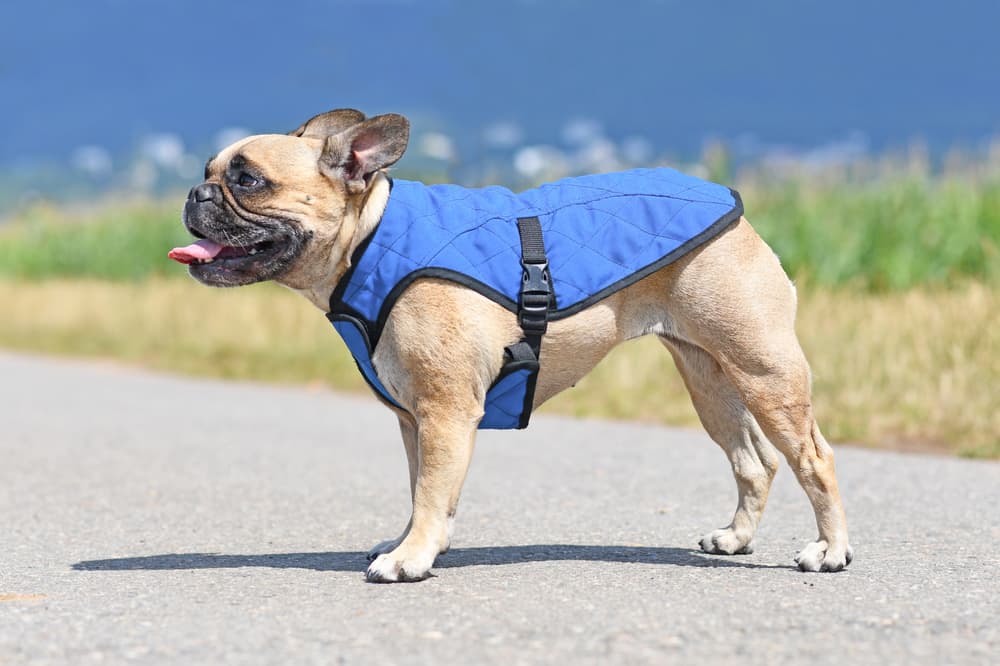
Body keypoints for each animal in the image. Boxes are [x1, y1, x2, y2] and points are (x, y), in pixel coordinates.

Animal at [170, 106, 852, 580]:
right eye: (209, 174)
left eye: (248, 180)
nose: (194, 193)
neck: (370, 238)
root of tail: (735, 209)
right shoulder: (416, 418)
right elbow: (423, 488)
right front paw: (417, 543)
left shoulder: (445, 411)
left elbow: (431, 488)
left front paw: (409, 559)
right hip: (707, 376)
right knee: (754, 460)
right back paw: (736, 539)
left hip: (765, 370)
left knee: (814, 458)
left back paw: (831, 550)